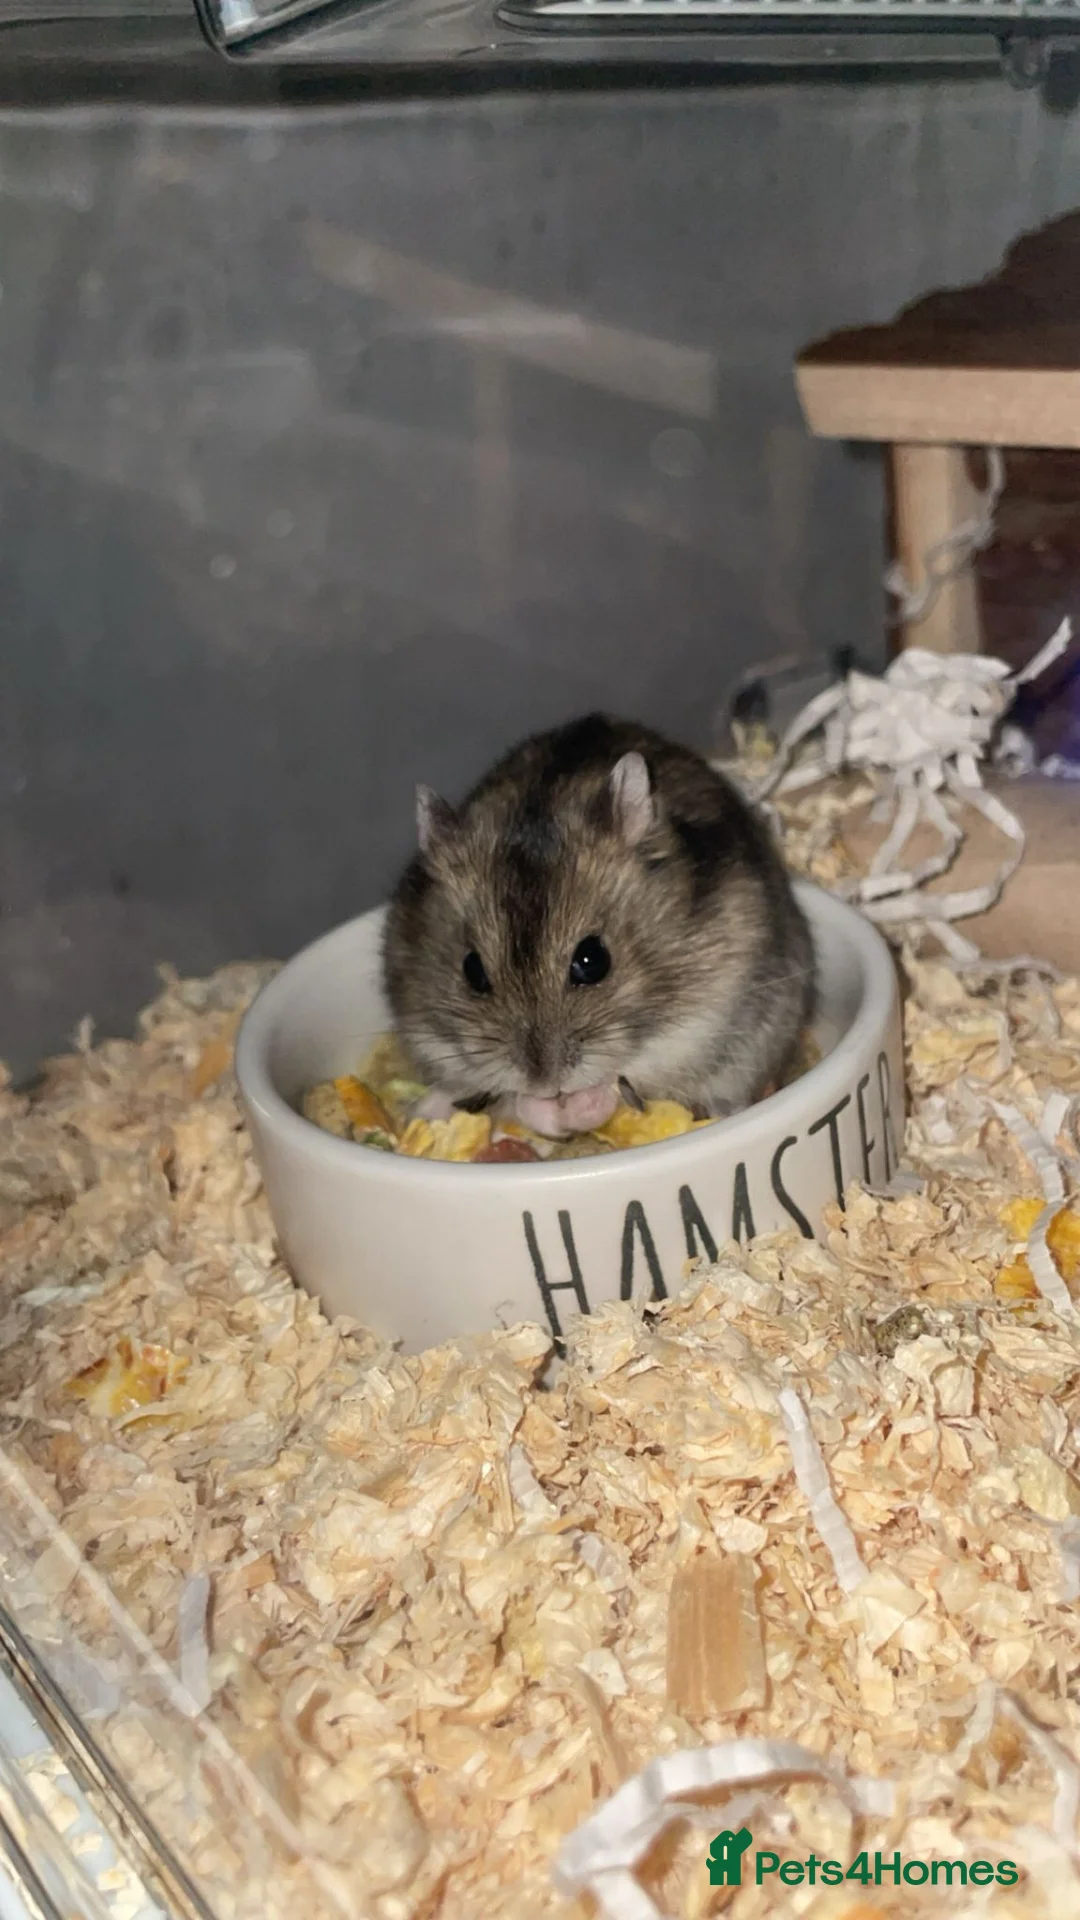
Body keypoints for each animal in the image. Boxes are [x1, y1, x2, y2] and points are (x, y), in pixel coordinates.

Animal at [382, 713, 814, 1138]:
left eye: (592, 961)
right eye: (472, 971)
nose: (545, 1084)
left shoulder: (700, 1021)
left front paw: (587, 1101)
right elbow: (518, 1104)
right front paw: (542, 1107)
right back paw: (427, 1108)